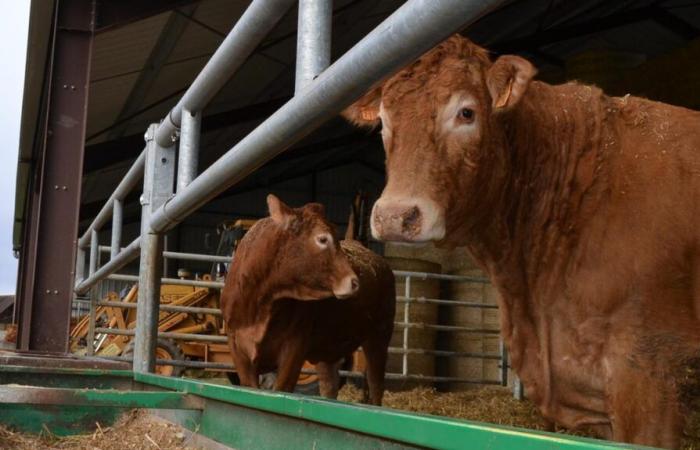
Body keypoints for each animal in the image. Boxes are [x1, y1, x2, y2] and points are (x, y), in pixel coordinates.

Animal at [220, 193, 394, 404]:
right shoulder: (237, 348)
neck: (261, 304)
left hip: (379, 336)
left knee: (376, 386)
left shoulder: (294, 348)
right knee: (329, 385)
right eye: (322, 239)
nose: (354, 282)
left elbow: (282, 388)